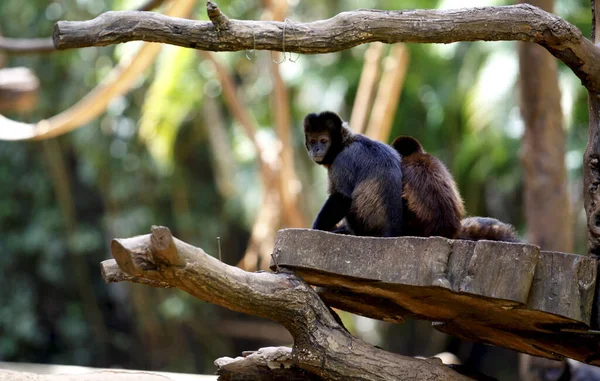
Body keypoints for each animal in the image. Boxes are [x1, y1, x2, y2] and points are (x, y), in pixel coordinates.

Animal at [304, 109, 404, 238]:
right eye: (312, 141)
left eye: (323, 141)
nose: (315, 149)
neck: (344, 144)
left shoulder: (342, 160)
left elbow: (342, 198)